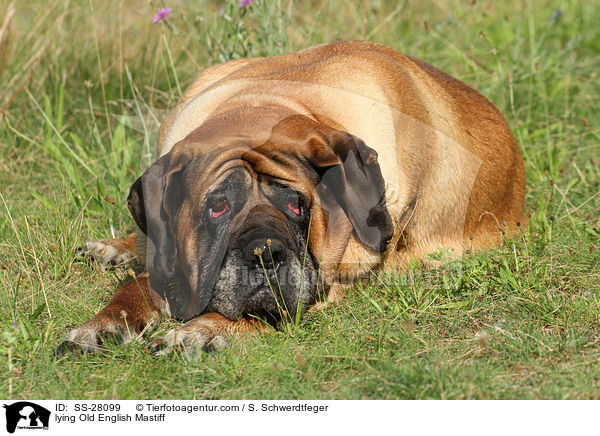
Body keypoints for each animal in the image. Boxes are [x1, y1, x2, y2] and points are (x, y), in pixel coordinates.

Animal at [56, 40, 524, 354]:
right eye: (218, 206)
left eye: (298, 205)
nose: (265, 253)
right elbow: (136, 285)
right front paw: (103, 325)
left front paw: (204, 331)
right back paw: (113, 248)